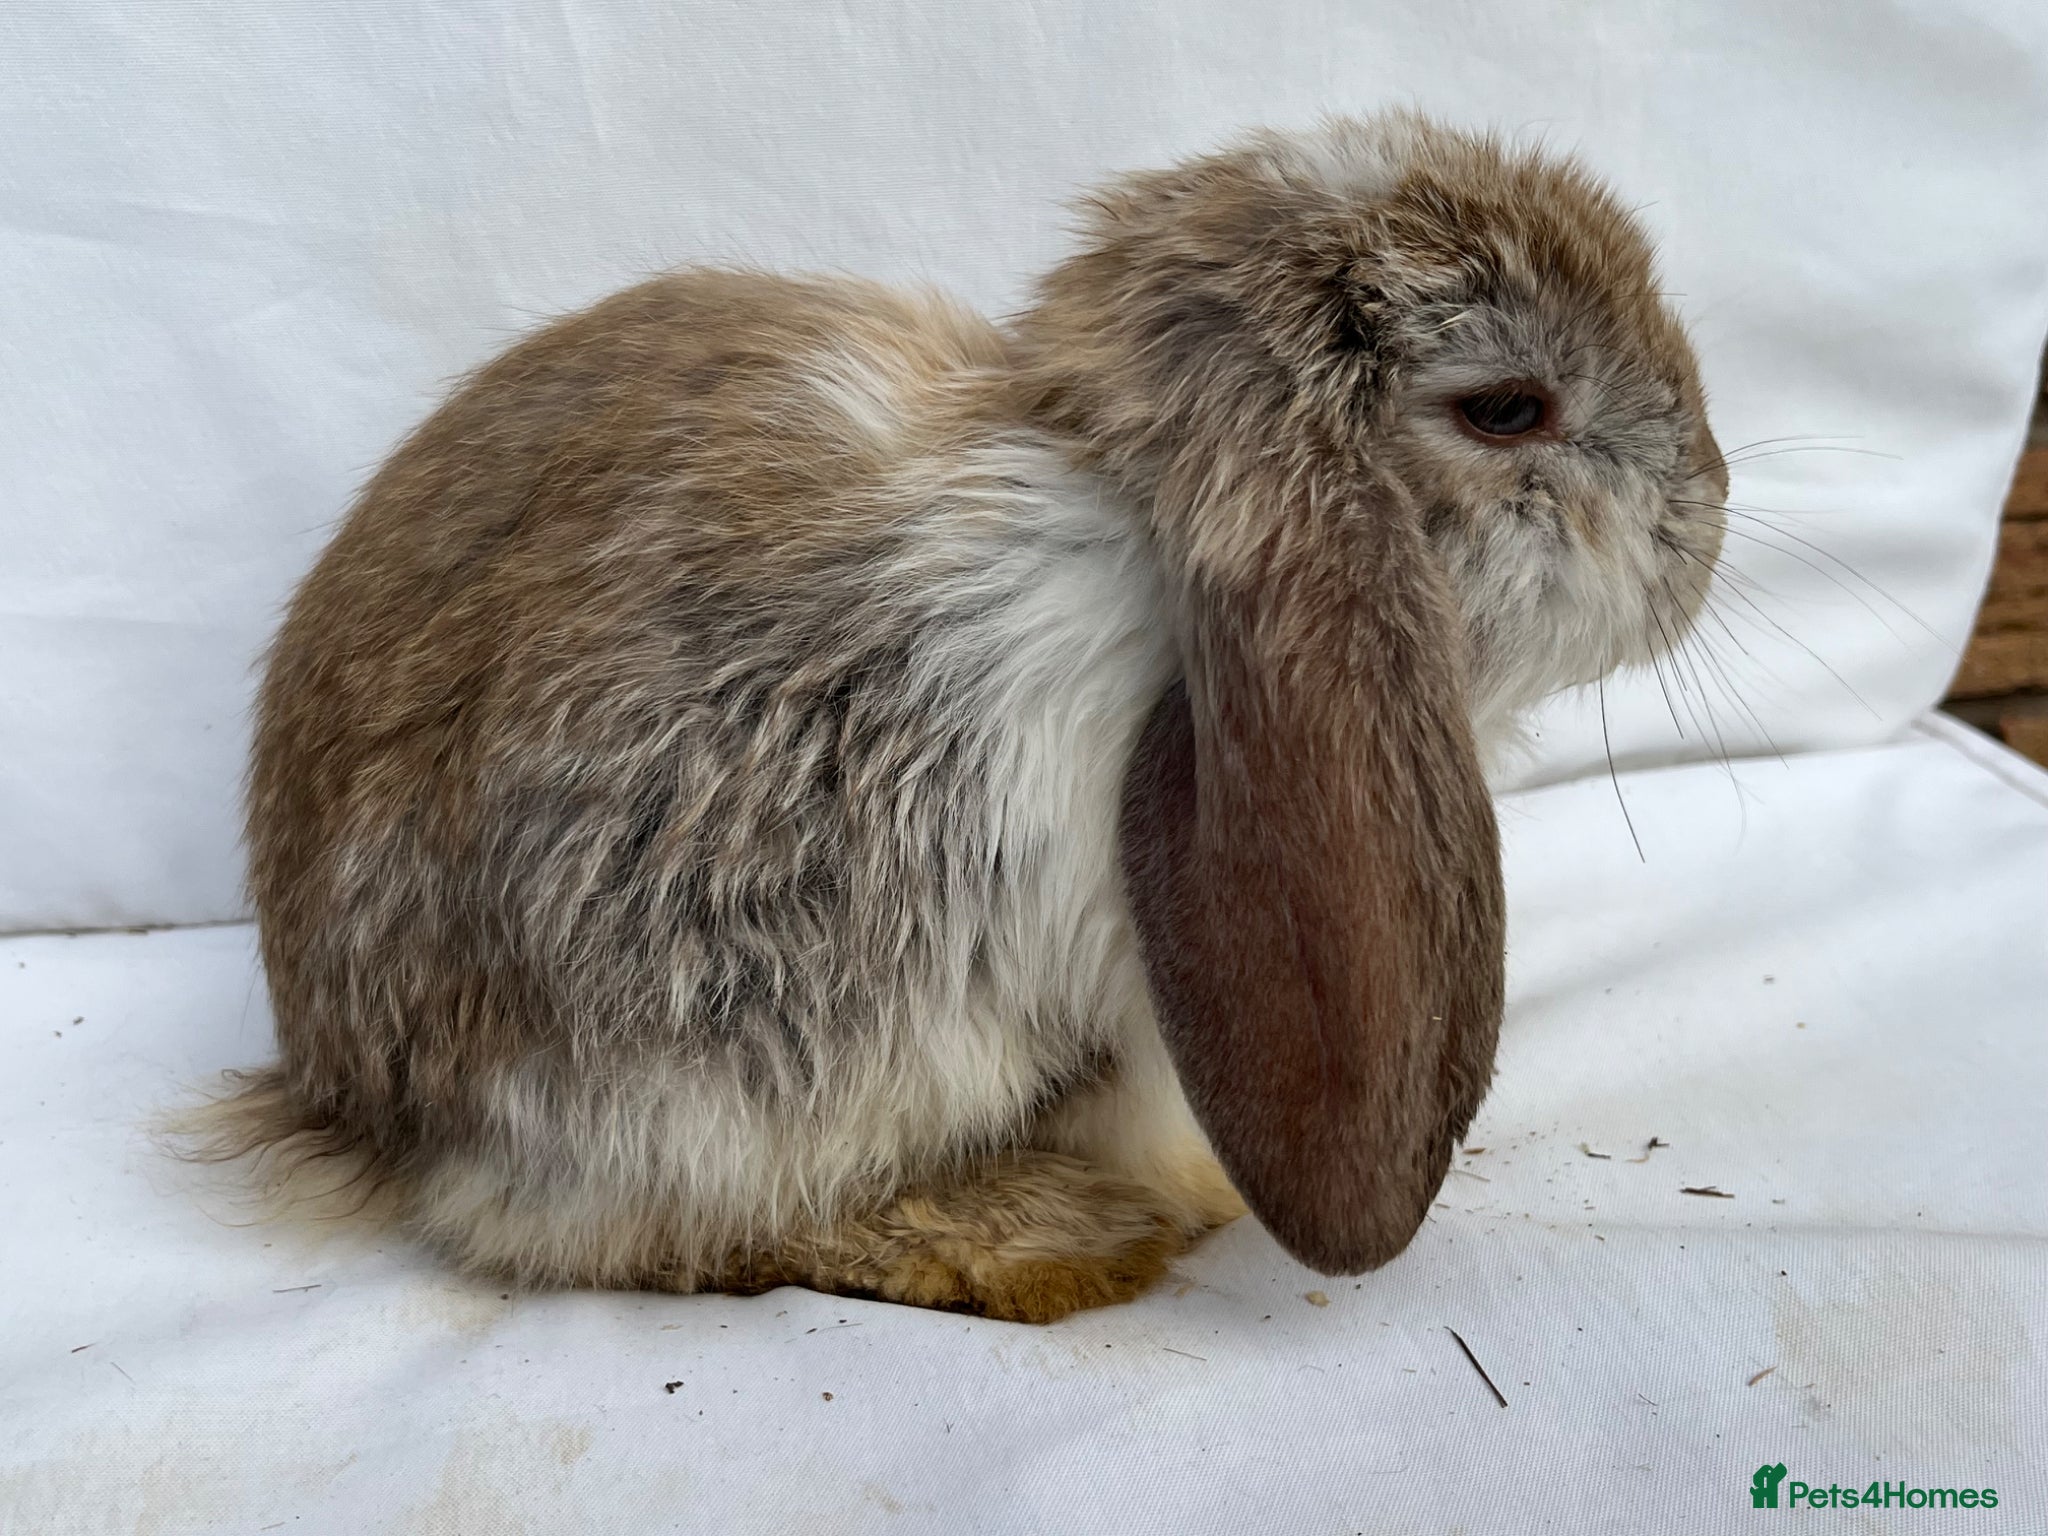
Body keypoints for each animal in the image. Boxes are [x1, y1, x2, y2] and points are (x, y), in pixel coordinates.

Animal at [193, 112, 1728, 1323]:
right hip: (719, 1056)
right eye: (1507, 411)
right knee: (625, 1231)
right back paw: (1045, 1238)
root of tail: (357, 1109)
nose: (1705, 517)